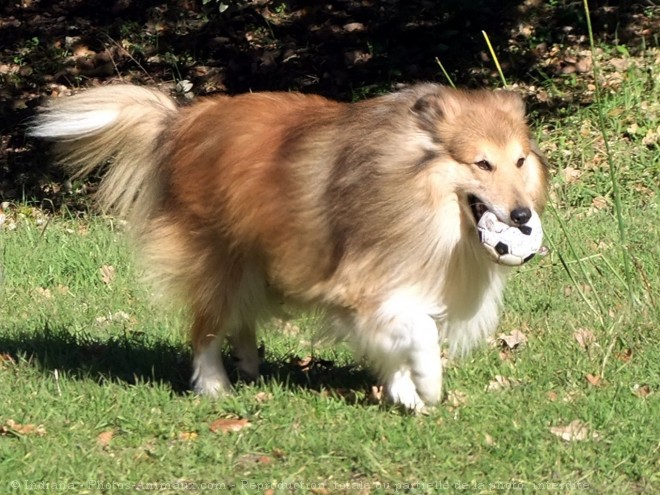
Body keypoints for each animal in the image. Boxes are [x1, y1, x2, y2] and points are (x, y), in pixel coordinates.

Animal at [29, 84, 548, 410]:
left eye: (520, 161)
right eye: (482, 163)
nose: (523, 217)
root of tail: (180, 121)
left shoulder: (391, 285)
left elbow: (397, 338)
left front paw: (405, 393)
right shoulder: (357, 284)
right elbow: (418, 330)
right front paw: (428, 385)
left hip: (256, 258)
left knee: (239, 317)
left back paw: (249, 361)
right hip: (216, 258)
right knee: (204, 329)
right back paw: (214, 386)